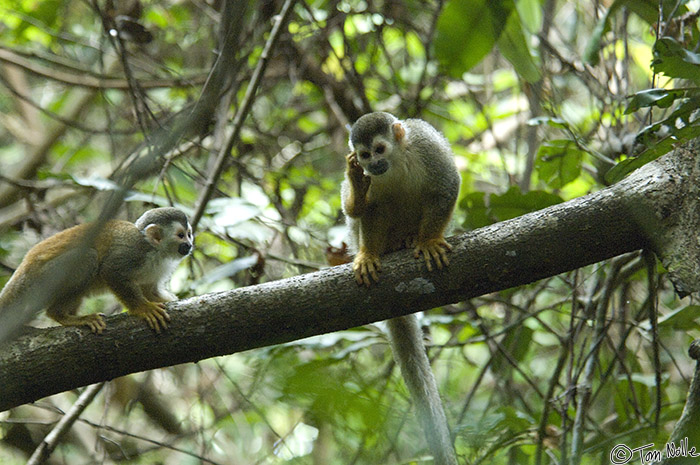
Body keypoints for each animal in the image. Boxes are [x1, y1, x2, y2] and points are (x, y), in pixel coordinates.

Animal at [0, 208, 194, 334]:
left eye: (189, 234)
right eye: (180, 235)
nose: (190, 245)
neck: (155, 250)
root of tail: (24, 268)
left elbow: (150, 290)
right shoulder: (134, 251)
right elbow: (111, 271)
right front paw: (143, 308)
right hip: (43, 278)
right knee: (89, 258)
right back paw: (62, 315)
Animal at [342, 111, 462, 464]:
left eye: (380, 149)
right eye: (364, 155)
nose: (374, 165)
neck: (395, 161)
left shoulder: (426, 145)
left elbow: (446, 187)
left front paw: (430, 241)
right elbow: (363, 208)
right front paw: (357, 186)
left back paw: (412, 239)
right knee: (371, 211)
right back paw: (375, 251)